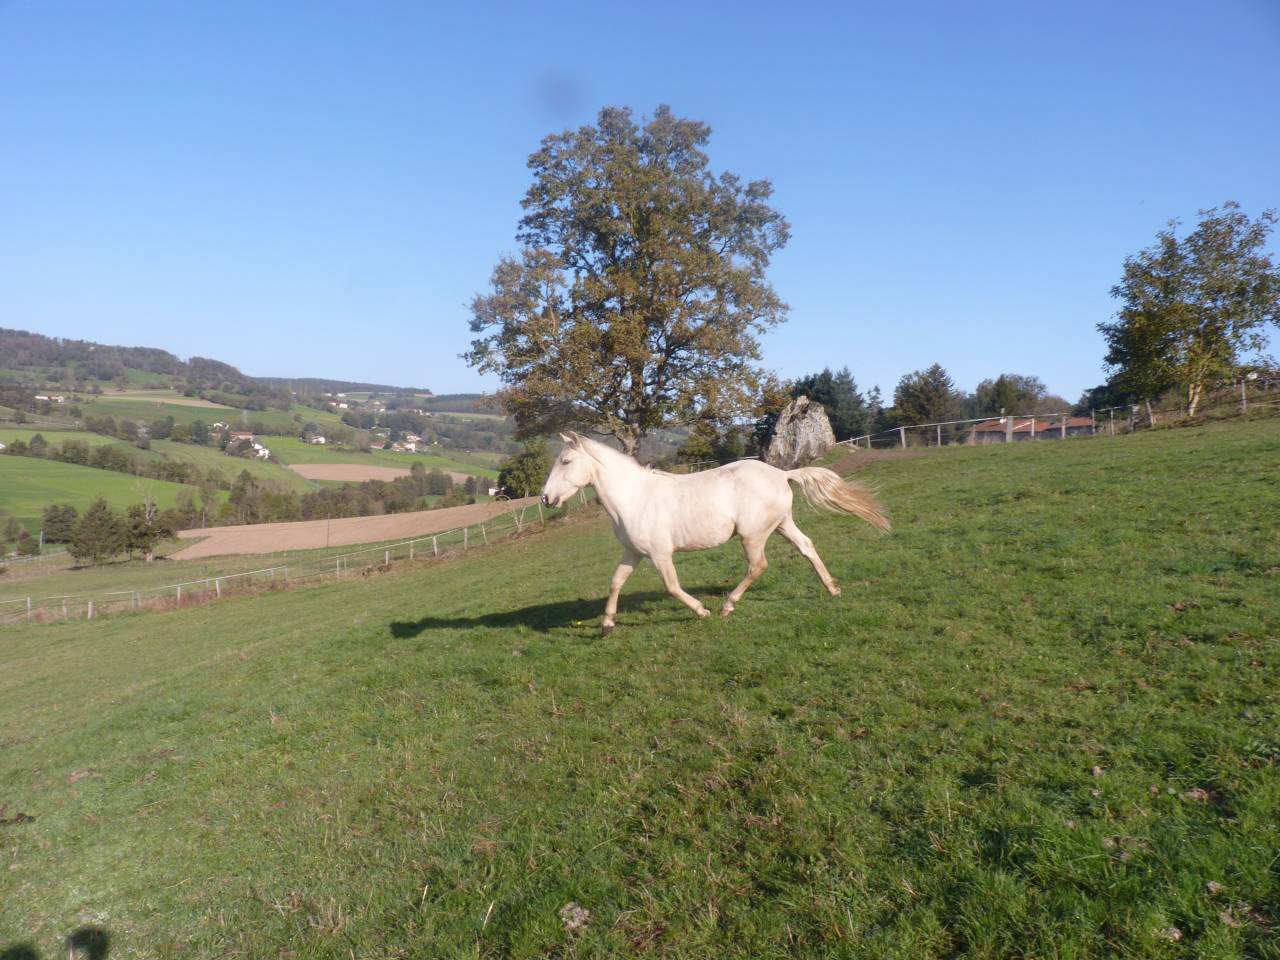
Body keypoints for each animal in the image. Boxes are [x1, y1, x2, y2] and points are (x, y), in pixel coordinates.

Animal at [540, 432, 890, 634]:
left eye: (566, 461)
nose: (546, 498)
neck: (635, 498)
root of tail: (782, 474)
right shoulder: (634, 553)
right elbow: (615, 583)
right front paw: (607, 626)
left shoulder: (659, 554)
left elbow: (672, 586)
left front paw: (701, 611)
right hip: (782, 525)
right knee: (806, 546)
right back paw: (832, 589)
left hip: (753, 535)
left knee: (758, 566)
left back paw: (726, 607)